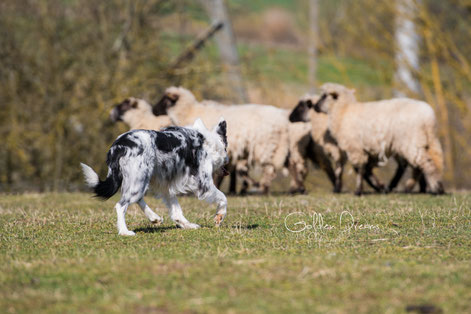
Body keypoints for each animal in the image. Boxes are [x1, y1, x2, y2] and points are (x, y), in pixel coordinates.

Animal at [153, 86, 292, 194]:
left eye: (165, 100)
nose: (154, 110)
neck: (189, 111)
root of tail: (283, 121)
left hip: (265, 147)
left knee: (269, 170)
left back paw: (263, 188)